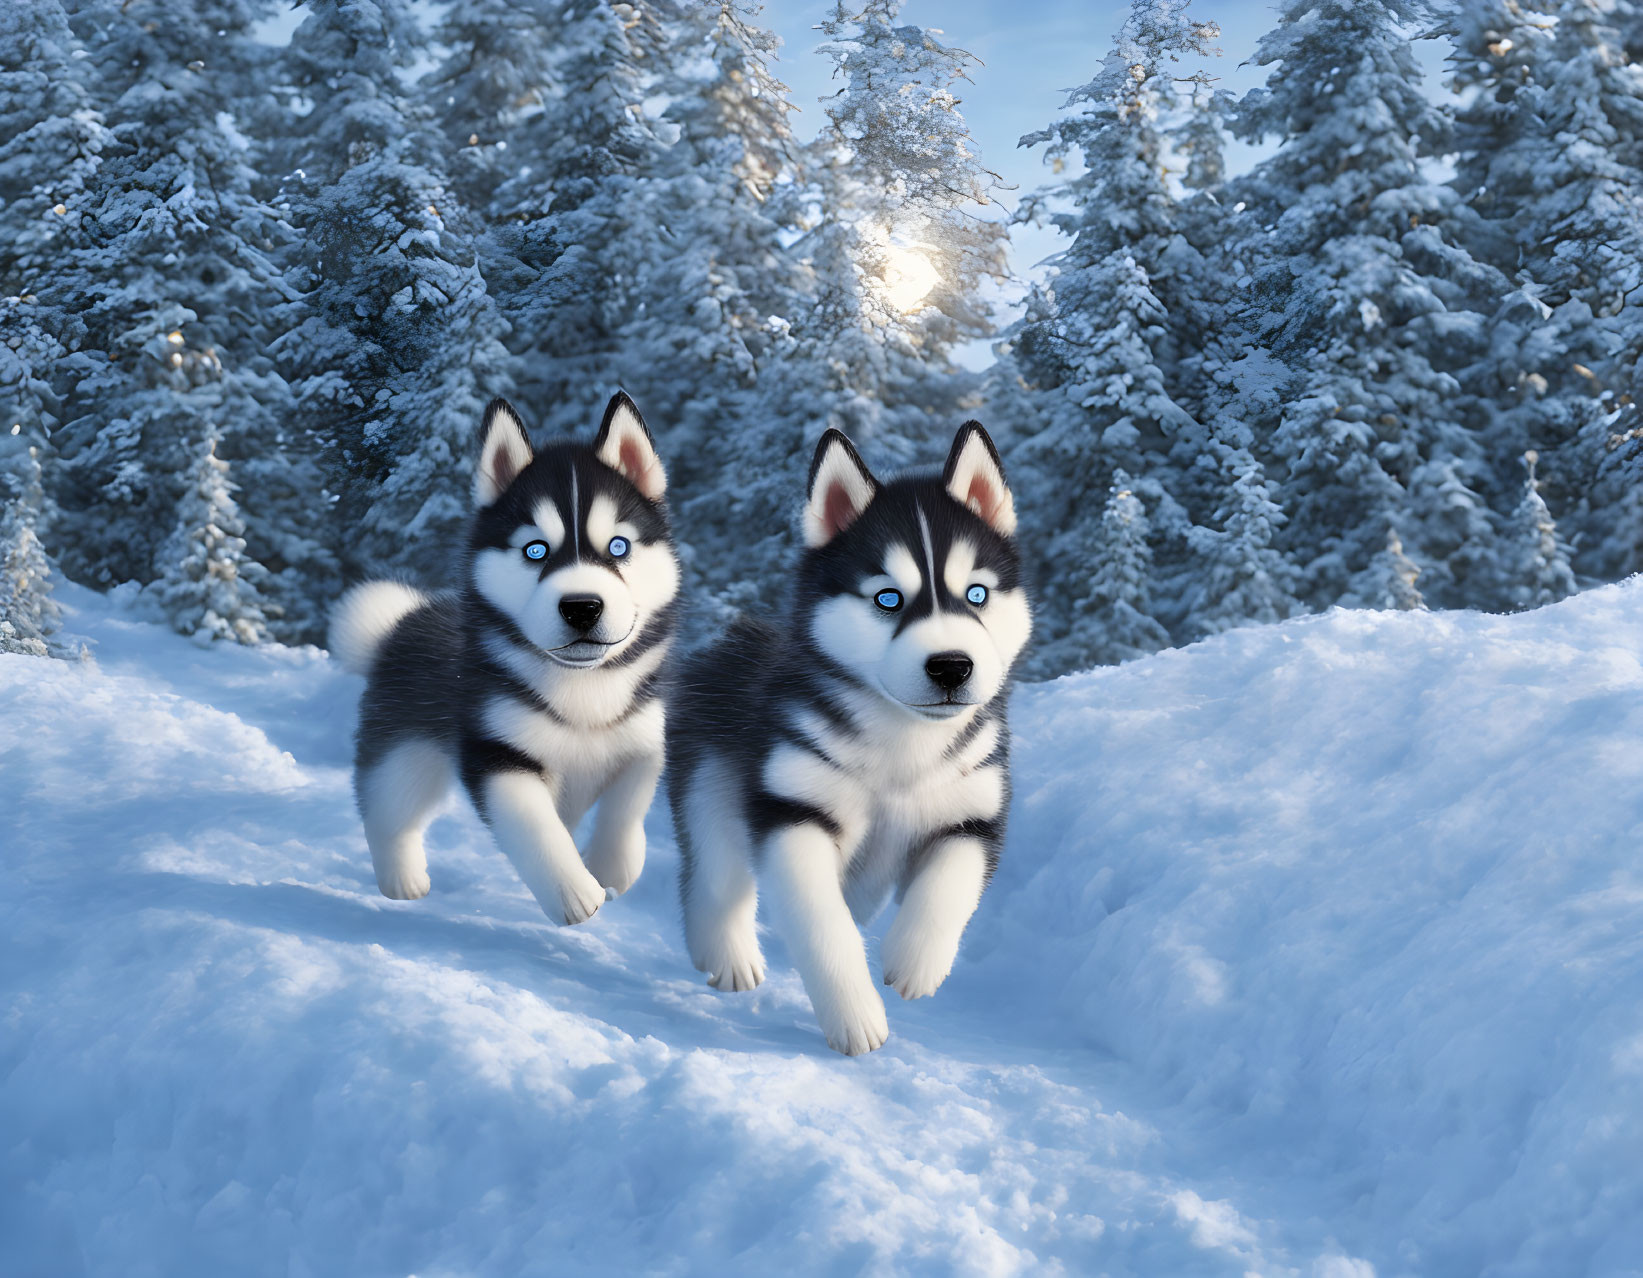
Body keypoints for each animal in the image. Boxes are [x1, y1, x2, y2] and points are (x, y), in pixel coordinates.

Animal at [330, 392, 676, 919]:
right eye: (535, 550)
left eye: (619, 547)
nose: (582, 606)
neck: (583, 688)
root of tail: (405, 620)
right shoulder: (498, 749)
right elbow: (534, 825)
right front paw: (574, 893)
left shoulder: (642, 733)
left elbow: (632, 796)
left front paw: (611, 865)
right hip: (407, 752)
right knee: (388, 808)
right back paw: (401, 879)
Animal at [667, 423, 1025, 1051]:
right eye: (888, 598)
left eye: (976, 595)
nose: (952, 666)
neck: (902, 747)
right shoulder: (794, 811)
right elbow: (823, 923)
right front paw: (855, 1017)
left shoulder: (973, 812)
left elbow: (950, 884)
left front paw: (914, 959)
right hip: (709, 787)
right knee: (713, 874)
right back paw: (727, 955)